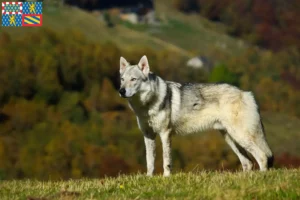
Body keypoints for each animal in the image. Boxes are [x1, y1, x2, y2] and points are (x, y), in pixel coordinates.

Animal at [118, 55, 274, 176]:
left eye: (133, 79)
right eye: (122, 79)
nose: (121, 91)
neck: (146, 106)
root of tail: (246, 93)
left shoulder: (165, 134)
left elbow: (166, 161)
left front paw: (166, 178)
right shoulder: (148, 135)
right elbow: (149, 161)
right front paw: (149, 178)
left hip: (240, 136)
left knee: (262, 157)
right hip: (230, 138)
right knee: (248, 162)